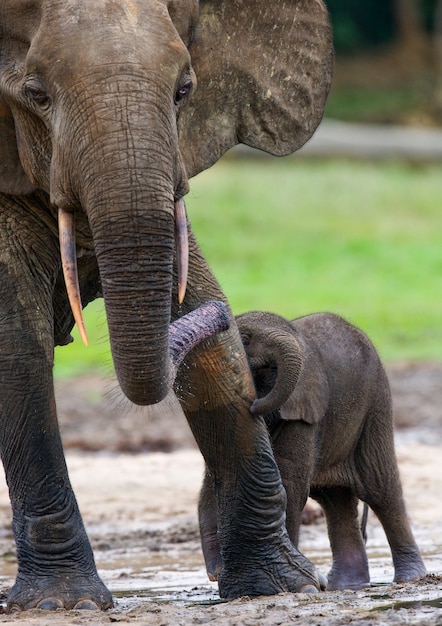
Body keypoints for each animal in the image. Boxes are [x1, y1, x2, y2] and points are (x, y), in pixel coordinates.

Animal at [0, 0, 332, 608]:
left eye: (184, 90)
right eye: (35, 93)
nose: (233, 318)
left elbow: (205, 329)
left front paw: (282, 587)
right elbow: (16, 347)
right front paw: (65, 604)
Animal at [199, 310, 426, 588]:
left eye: (244, 340)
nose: (253, 406)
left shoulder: (304, 410)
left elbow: (289, 482)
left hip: (376, 403)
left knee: (381, 490)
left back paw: (410, 578)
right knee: (335, 500)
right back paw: (345, 585)